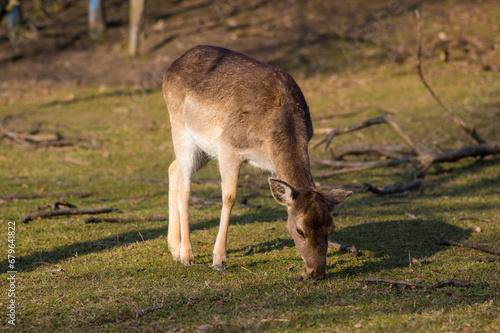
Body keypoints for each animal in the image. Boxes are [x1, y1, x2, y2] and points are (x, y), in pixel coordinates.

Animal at [163, 44, 352, 278]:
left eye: (331, 228)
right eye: (300, 230)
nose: (317, 272)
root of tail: (170, 68)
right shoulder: (228, 146)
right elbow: (229, 197)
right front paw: (219, 261)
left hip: (203, 148)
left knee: (173, 169)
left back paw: (174, 248)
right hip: (180, 128)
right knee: (185, 187)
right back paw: (187, 255)